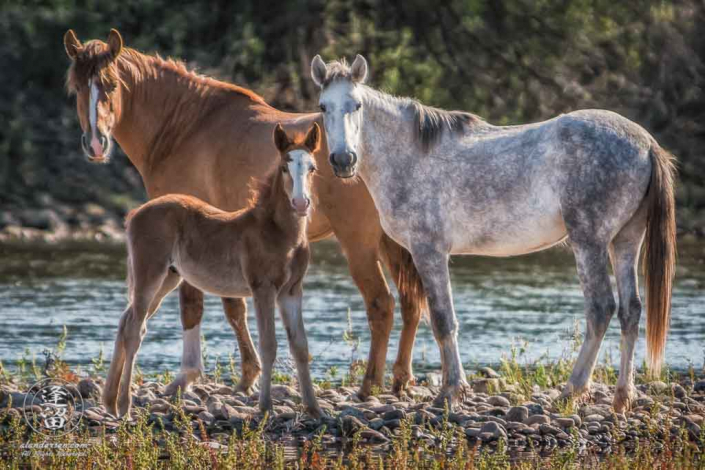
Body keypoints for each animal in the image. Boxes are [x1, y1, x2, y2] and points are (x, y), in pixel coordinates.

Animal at [103, 123, 324, 416]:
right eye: (285, 167)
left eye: (312, 168)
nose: (301, 203)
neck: (280, 232)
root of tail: (134, 213)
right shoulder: (263, 288)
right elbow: (268, 345)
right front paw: (265, 407)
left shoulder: (291, 291)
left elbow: (300, 346)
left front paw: (315, 409)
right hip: (149, 274)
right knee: (134, 330)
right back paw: (124, 405)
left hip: (168, 279)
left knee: (125, 321)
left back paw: (109, 401)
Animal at [312, 54, 676, 412]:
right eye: (322, 106)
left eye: (357, 105)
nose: (343, 160)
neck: (409, 157)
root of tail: (645, 144)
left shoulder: (429, 251)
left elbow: (443, 320)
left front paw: (451, 391)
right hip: (625, 241)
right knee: (631, 311)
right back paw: (622, 396)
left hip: (590, 243)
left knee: (600, 309)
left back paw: (572, 390)